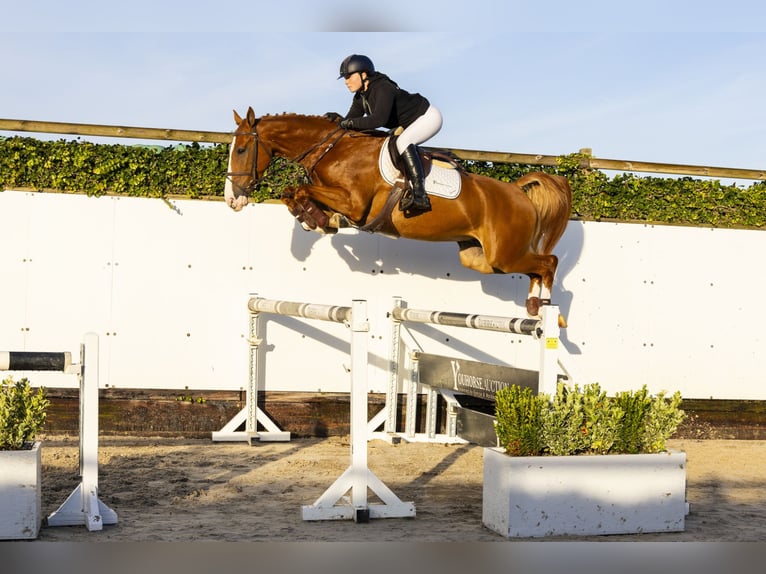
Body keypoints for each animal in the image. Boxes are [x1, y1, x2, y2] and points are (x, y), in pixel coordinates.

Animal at [225, 107, 572, 320]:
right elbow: (293, 192)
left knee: (548, 262)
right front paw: (318, 220)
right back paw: (534, 305)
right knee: (535, 267)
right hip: (481, 259)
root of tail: (517, 192)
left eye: (241, 150)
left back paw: (544, 307)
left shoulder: (355, 204)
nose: (232, 199)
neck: (333, 150)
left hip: (504, 255)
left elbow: (299, 189)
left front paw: (319, 220)